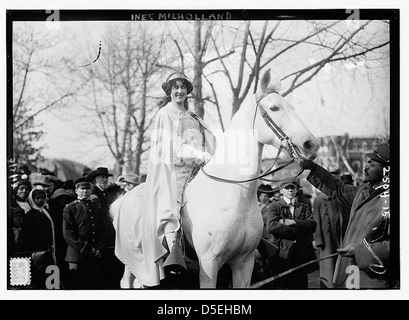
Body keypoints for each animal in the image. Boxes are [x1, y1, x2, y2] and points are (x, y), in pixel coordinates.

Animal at [111, 69, 318, 288]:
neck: (232, 196)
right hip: (137, 262)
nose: (311, 144)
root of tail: (123, 199)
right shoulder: (209, 263)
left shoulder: (244, 262)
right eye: (274, 108)